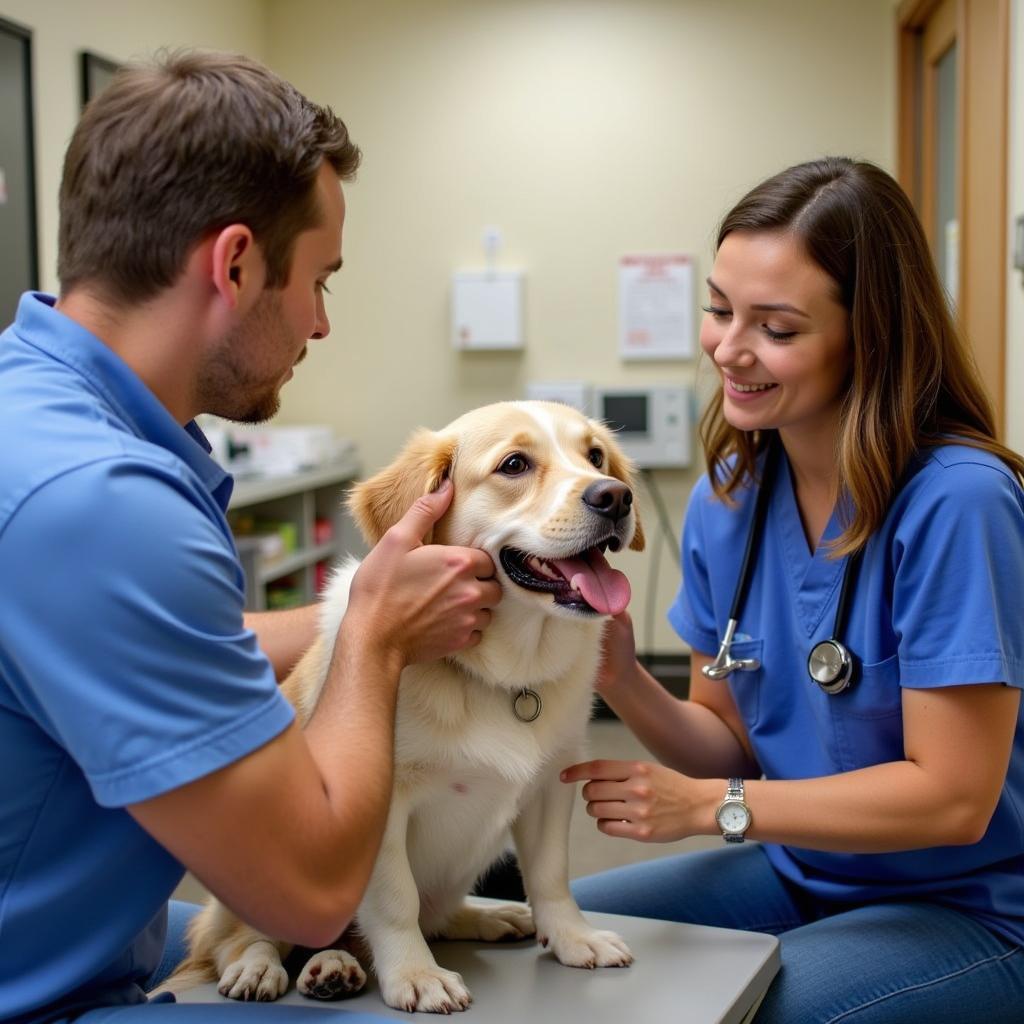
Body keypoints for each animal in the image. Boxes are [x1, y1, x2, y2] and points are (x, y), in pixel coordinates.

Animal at [162, 397, 643, 1007]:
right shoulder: (382, 807)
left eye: (595, 456)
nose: (615, 497)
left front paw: (573, 938)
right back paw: (275, 966)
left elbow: (550, 875)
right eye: (514, 465)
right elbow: (396, 902)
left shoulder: (550, 788)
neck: (501, 673)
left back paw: (477, 921)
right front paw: (415, 974)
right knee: (239, 940)